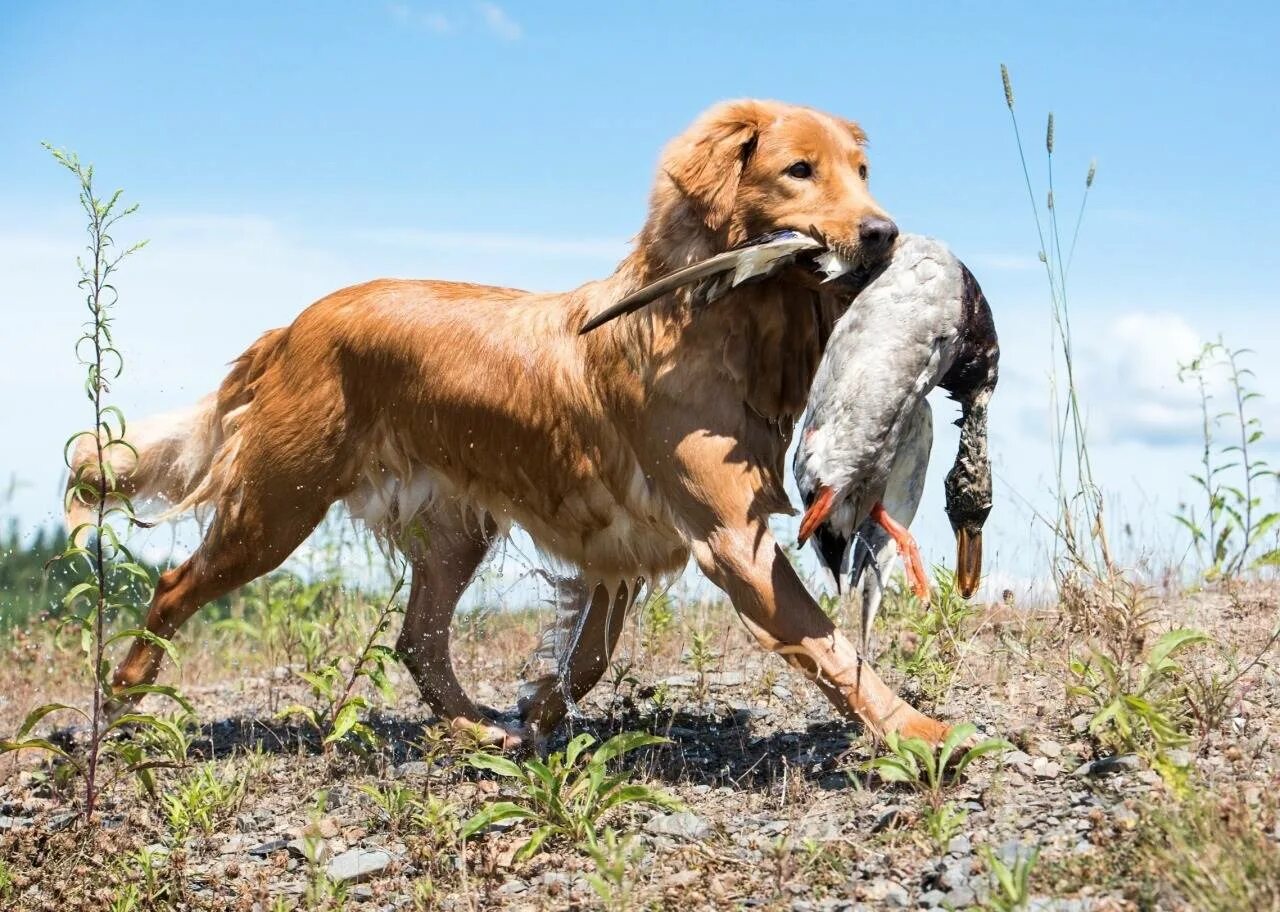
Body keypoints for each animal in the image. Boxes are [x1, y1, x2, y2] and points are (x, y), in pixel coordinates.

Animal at [70, 97, 952, 748]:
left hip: (455, 528)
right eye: (799, 170)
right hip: (276, 507)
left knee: (418, 640)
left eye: (862, 172)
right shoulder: (732, 536)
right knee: (175, 587)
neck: (707, 317)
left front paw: (536, 713)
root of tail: (292, 325)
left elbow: (588, 655)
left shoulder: (621, 547)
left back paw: (475, 729)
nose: (884, 234)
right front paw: (923, 732)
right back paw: (120, 704)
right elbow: (829, 644)